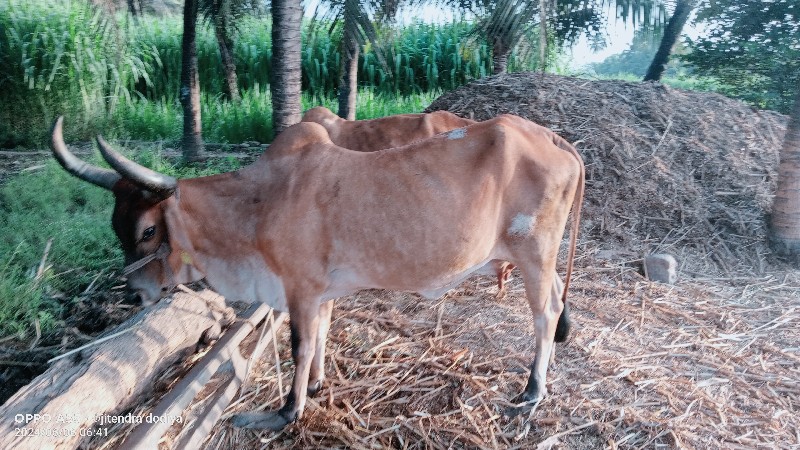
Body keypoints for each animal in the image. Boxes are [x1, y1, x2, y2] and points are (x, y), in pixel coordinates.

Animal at [51, 112, 588, 428]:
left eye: (147, 230)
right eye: (116, 226)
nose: (136, 290)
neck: (258, 202)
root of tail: (556, 138)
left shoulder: (300, 290)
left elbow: (300, 344)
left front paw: (287, 410)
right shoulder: (321, 292)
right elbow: (323, 335)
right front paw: (315, 384)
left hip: (535, 255)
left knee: (545, 316)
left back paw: (532, 390)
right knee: (556, 303)